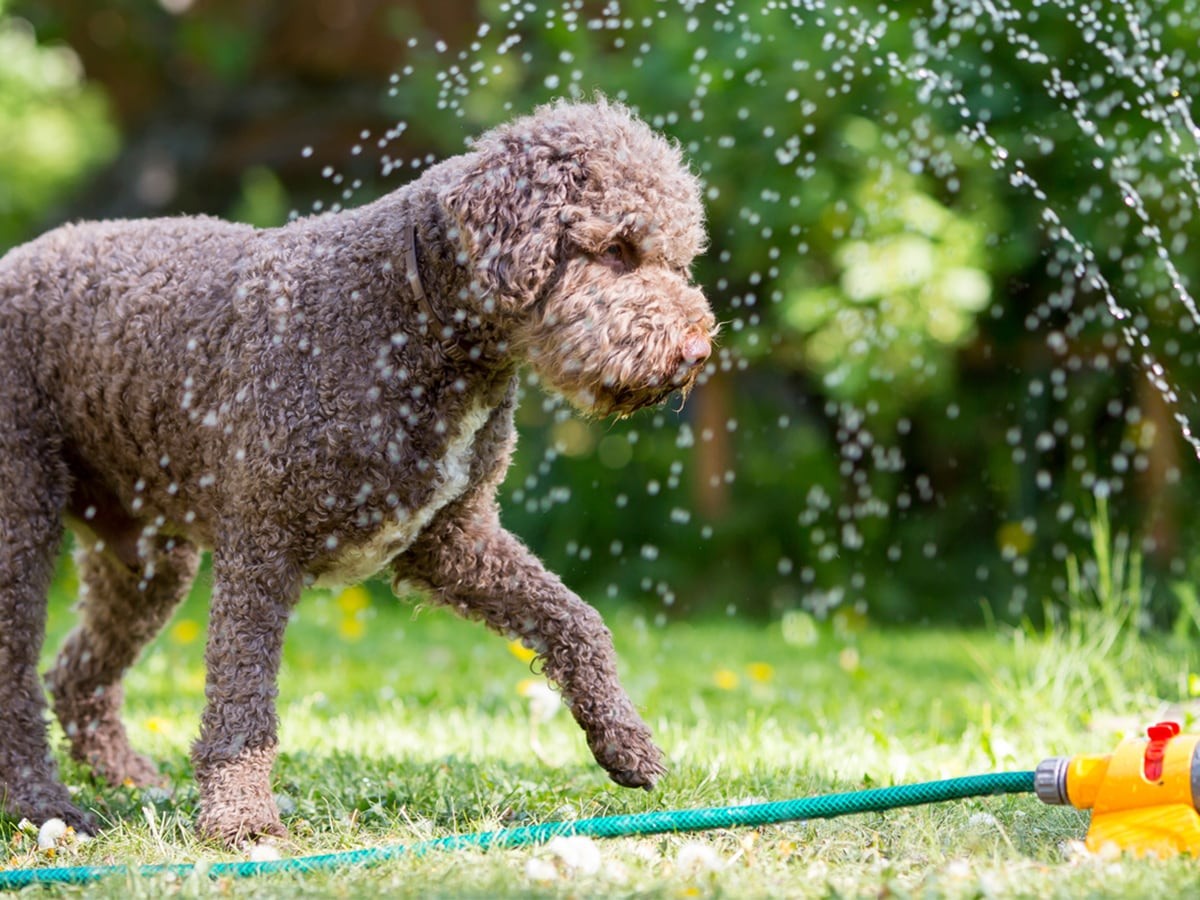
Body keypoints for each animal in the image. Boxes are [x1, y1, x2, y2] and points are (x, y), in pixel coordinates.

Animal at [0, 100, 710, 854]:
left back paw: (124, 775)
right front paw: (240, 819)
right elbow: (242, 704)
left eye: (677, 258)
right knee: (16, 684)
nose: (698, 350)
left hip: (146, 560)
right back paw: (45, 804)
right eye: (617, 250)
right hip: (22, 526)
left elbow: (576, 620)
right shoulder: (261, 551)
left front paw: (625, 741)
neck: (408, 317)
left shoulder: (452, 539)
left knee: (75, 673)